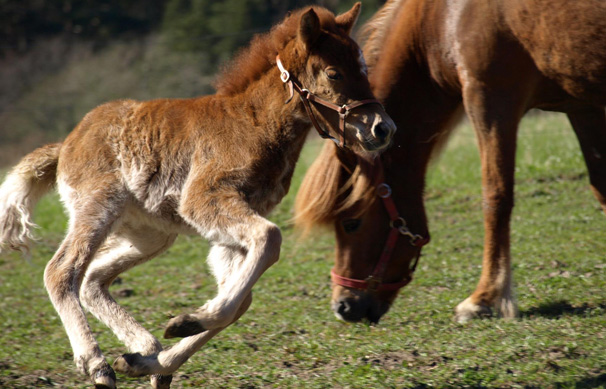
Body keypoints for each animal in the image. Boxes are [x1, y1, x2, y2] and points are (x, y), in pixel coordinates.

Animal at [0, 4, 400, 386]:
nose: (383, 128)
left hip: (152, 235)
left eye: (363, 67)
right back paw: (97, 363)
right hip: (98, 207)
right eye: (334, 73)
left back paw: (143, 349)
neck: (252, 124)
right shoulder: (205, 199)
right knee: (61, 271)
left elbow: (242, 297)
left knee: (93, 279)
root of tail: (66, 142)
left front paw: (162, 354)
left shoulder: (227, 233)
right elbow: (269, 239)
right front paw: (190, 322)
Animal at [296, 0, 606, 322]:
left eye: (351, 223)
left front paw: (485, 297)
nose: (342, 307)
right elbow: (601, 186)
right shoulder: (581, 105)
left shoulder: (489, 100)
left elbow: (495, 197)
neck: (441, 18)